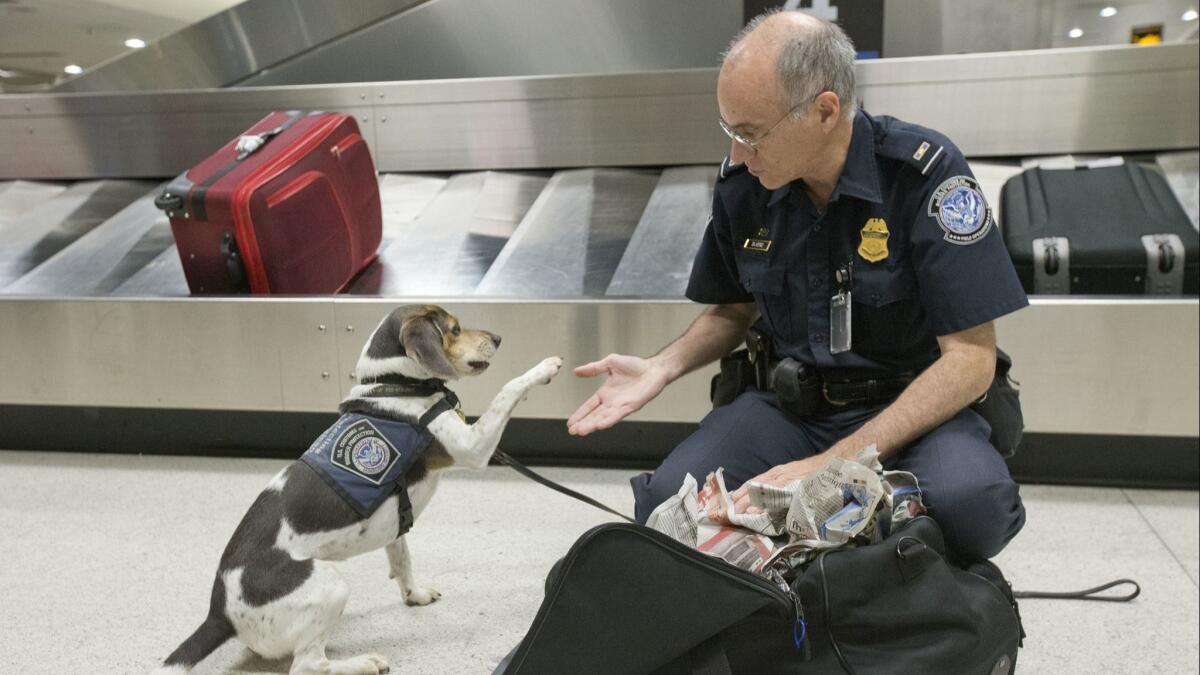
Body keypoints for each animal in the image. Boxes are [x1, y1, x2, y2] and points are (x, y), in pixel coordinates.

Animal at [153, 305, 561, 672]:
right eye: (455, 328)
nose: (498, 338)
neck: (396, 385)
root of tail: (219, 614)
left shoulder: (398, 521)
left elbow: (403, 560)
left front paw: (415, 595)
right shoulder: (473, 447)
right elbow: (508, 389)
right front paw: (544, 367)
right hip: (331, 585)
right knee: (307, 665)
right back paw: (363, 662)